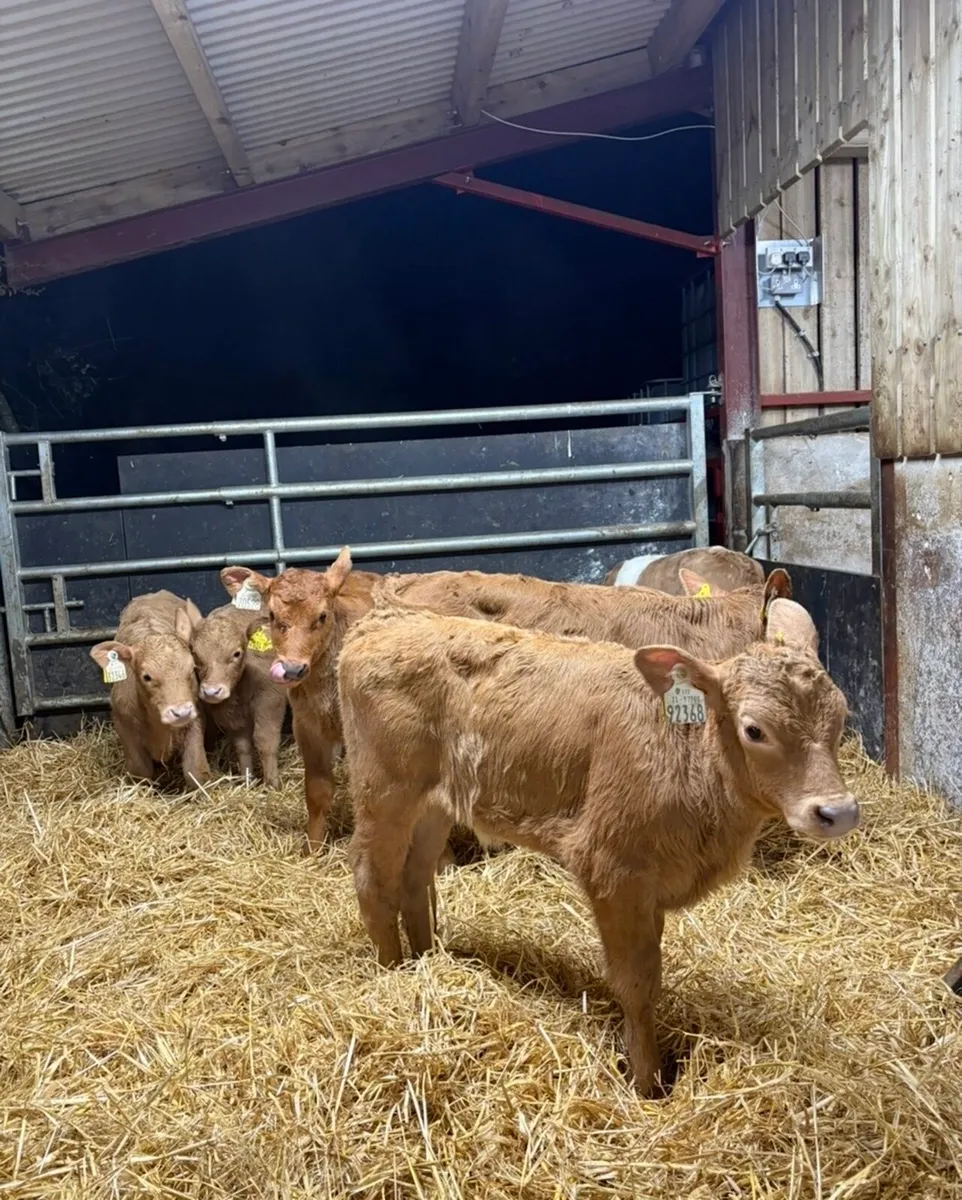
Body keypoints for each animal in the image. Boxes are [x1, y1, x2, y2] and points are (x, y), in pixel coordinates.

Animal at [90, 591, 210, 787]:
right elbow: (140, 773)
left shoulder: (196, 718)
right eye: (146, 677)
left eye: (192, 668)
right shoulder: (125, 728)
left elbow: (195, 771)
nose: (181, 712)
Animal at [190, 603, 289, 788]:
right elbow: (242, 746)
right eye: (195, 655)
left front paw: (273, 784)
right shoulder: (231, 714)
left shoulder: (271, 700)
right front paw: (248, 781)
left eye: (236, 653)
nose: (211, 691)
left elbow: (266, 741)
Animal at [337, 599, 859, 1095]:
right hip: (385, 792)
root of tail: (386, 620)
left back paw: (425, 965)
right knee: (372, 878)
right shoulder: (613, 870)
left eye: (841, 717)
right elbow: (637, 982)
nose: (837, 811)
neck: (687, 755)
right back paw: (393, 976)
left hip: (435, 803)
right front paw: (647, 1083)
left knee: (415, 877)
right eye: (754, 730)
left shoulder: (651, 886)